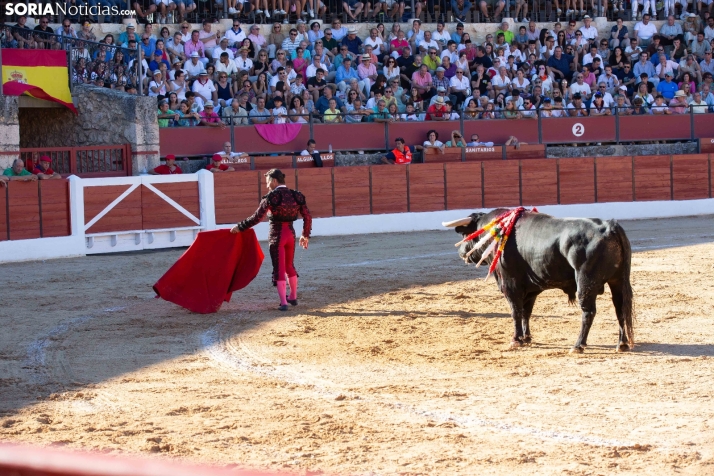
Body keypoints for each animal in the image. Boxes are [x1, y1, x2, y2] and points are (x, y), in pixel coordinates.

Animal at [444, 209, 636, 354]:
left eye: (466, 234)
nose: (461, 252)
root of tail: (609, 226)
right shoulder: (530, 289)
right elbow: (526, 312)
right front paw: (526, 338)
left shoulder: (510, 285)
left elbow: (515, 312)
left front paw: (516, 340)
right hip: (618, 280)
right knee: (620, 308)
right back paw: (622, 344)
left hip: (585, 282)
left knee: (588, 312)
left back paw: (578, 345)